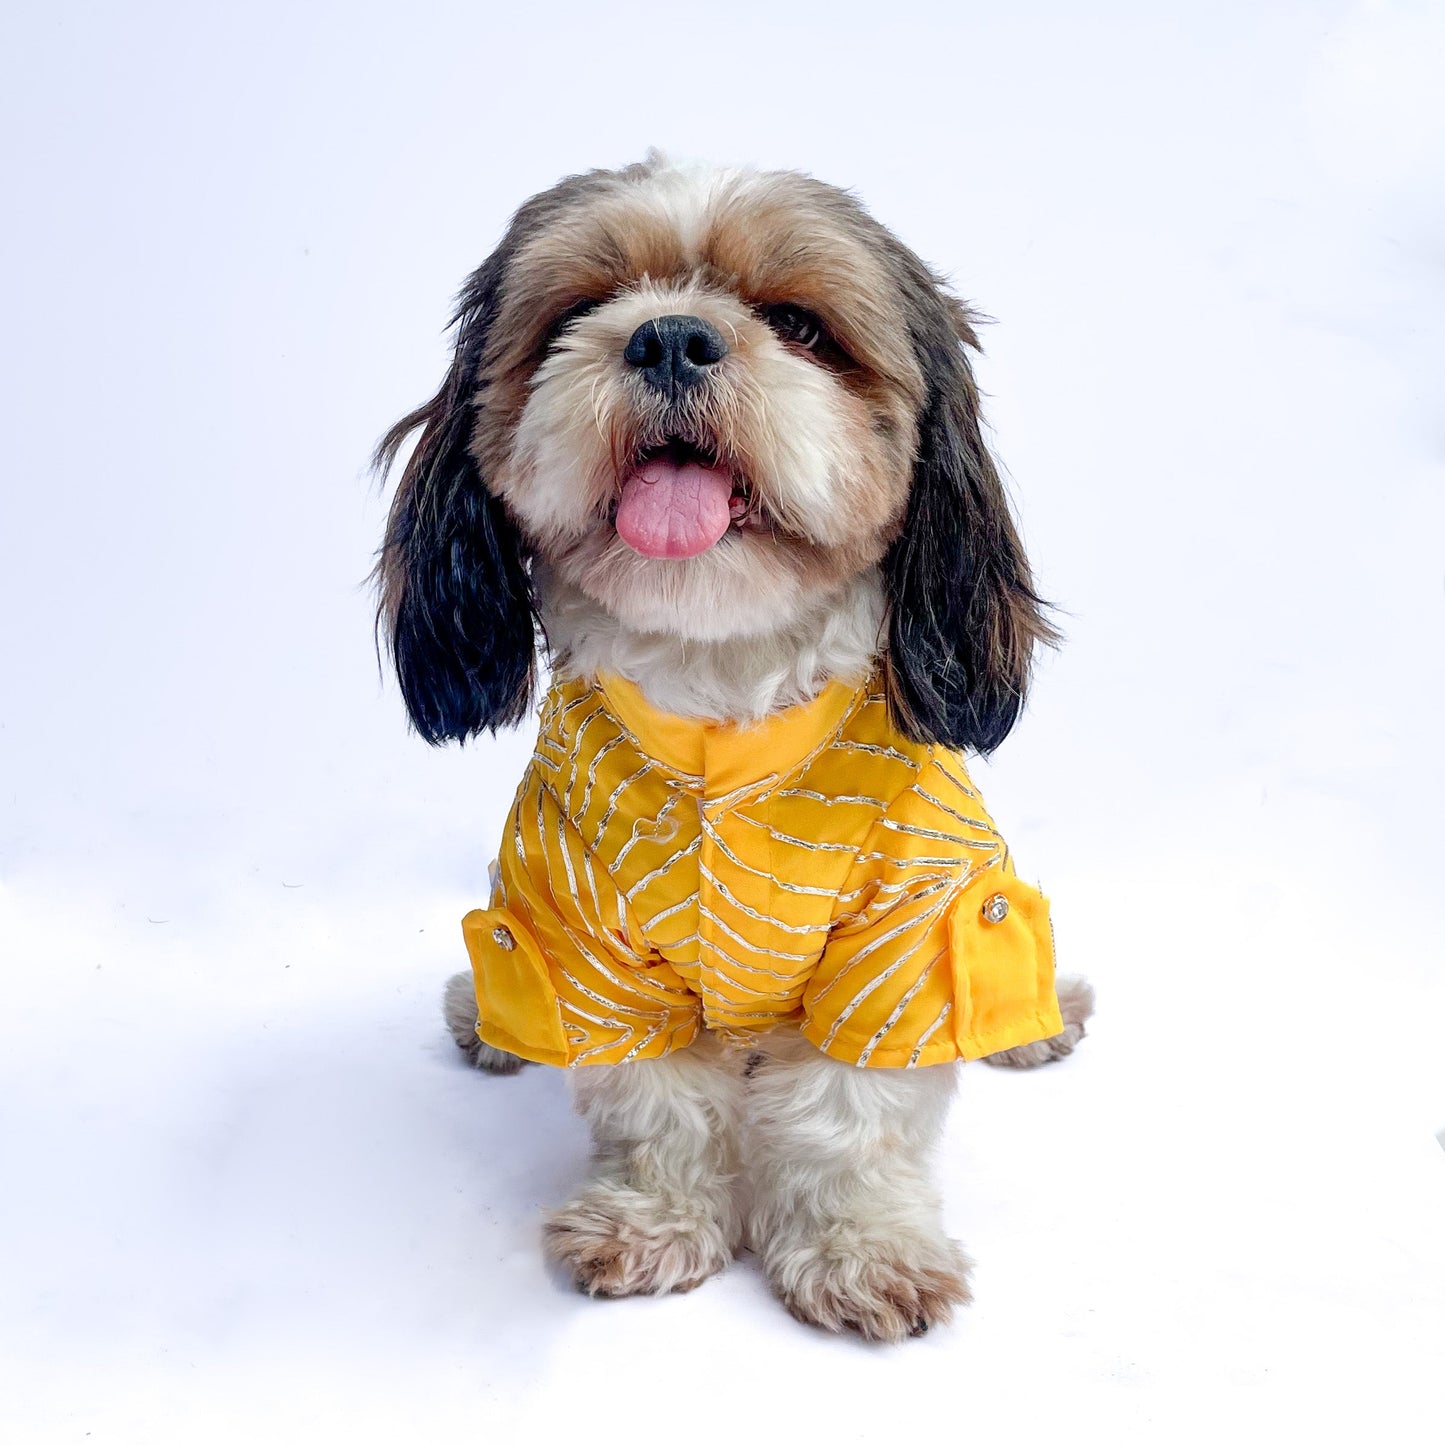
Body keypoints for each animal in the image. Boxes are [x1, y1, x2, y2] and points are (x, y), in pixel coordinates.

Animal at [378, 152, 1086, 1335]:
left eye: (797, 325)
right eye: (580, 309)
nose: (669, 335)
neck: (720, 702)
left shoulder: (903, 936)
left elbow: (851, 1108)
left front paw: (859, 1246)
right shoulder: (582, 937)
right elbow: (655, 1104)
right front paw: (652, 1219)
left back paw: (1038, 1016)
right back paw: (485, 1014)